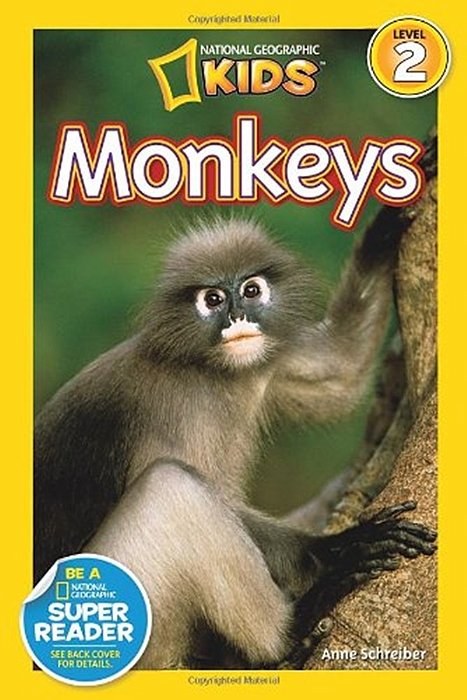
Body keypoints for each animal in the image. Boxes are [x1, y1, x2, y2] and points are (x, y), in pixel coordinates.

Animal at [34, 214, 436, 669]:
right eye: (212, 299)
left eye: (251, 290)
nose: (238, 317)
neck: (212, 371)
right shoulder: (174, 415)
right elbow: (218, 501)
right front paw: (337, 549)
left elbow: (340, 370)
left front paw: (385, 230)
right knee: (170, 488)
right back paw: (286, 634)